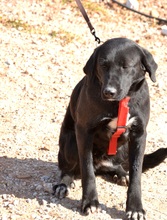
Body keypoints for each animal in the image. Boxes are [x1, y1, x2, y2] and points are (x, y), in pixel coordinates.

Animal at [53, 37, 167, 218]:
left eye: (126, 66)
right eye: (103, 65)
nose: (108, 92)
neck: (119, 103)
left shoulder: (139, 135)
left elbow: (136, 173)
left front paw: (135, 207)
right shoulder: (84, 132)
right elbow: (87, 171)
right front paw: (90, 202)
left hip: (123, 148)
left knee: (116, 165)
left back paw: (120, 173)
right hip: (70, 143)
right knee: (68, 168)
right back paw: (64, 184)